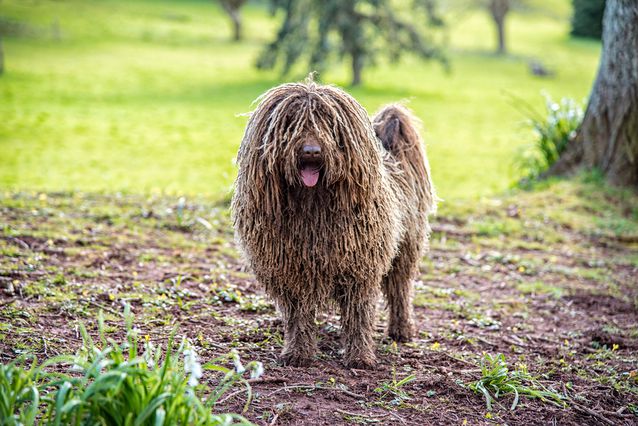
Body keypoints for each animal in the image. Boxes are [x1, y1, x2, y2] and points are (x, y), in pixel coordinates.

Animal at [232, 80, 438, 370]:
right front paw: (298, 352)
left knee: (400, 289)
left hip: (407, 247)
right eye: (290, 121)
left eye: (328, 122)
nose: (311, 151)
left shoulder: (360, 270)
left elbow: (358, 316)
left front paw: (360, 356)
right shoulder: (291, 272)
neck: (312, 208)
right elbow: (298, 316)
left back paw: (401, 330)